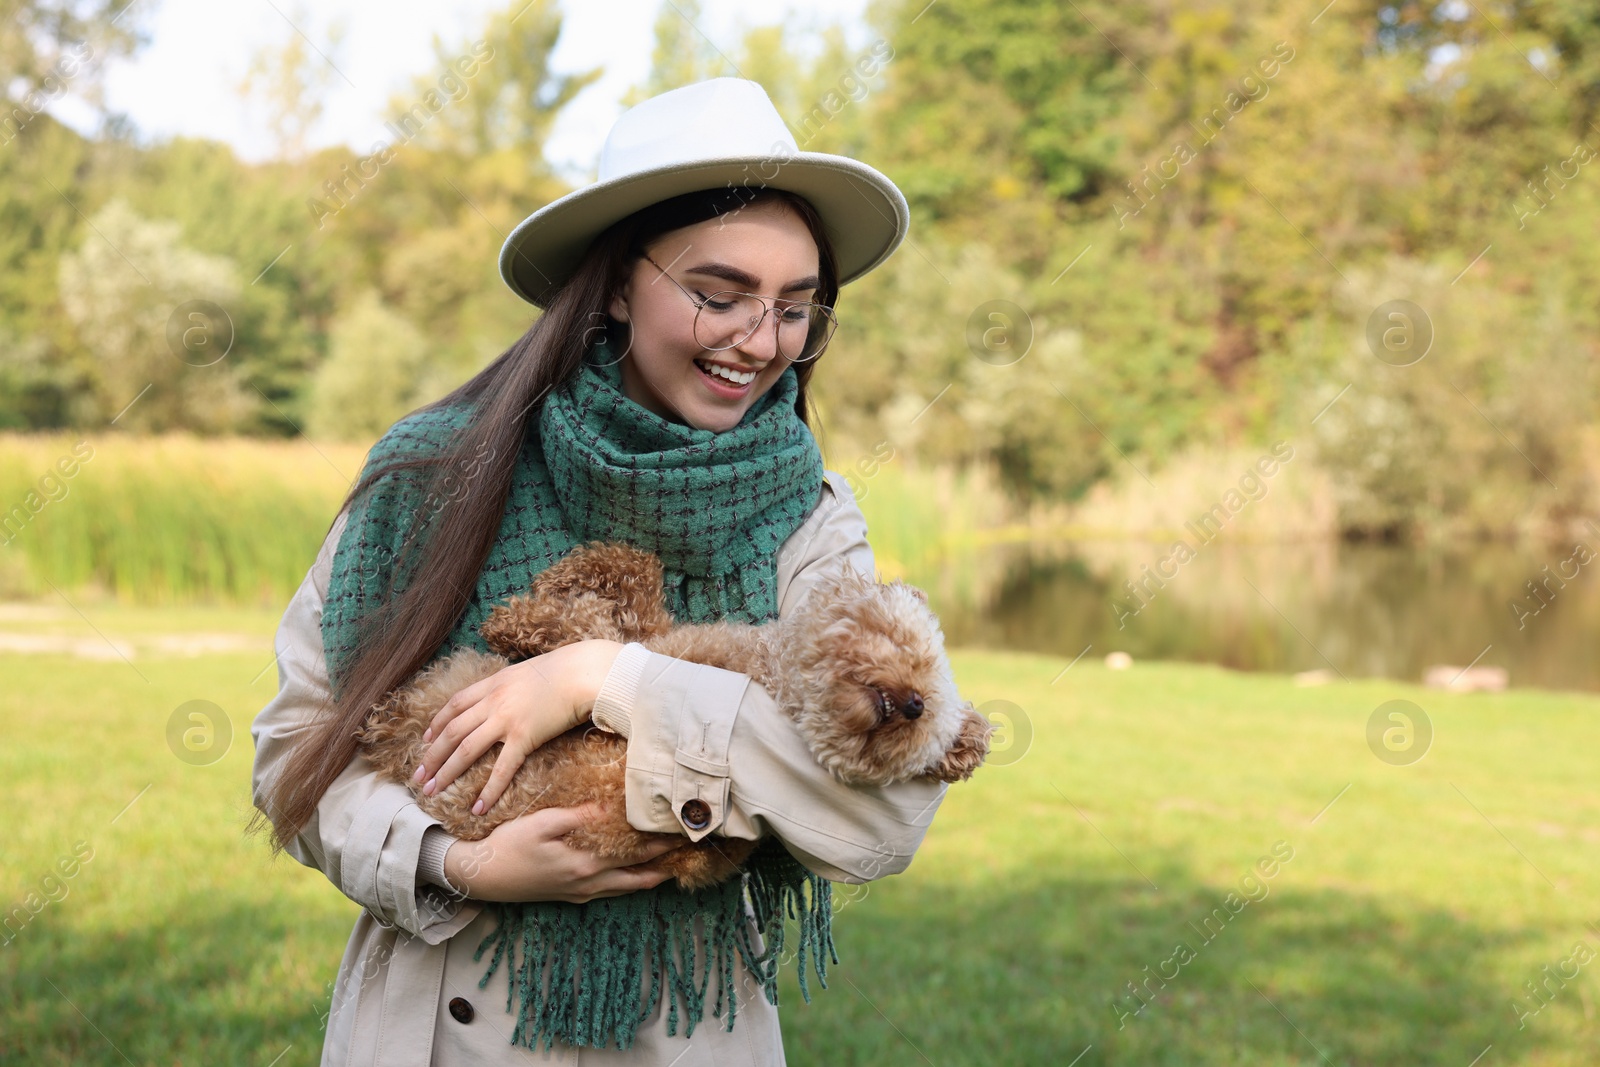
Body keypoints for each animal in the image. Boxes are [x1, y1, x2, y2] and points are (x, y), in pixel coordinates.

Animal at [356, 543, 992, 895]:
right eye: (905, 645)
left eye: (926, 717)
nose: (914, 703)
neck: (765, 675)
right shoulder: (659, 632)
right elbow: (639, 570)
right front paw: (569, 574)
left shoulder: (634, 651)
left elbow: (582, 626)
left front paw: (517, 617)